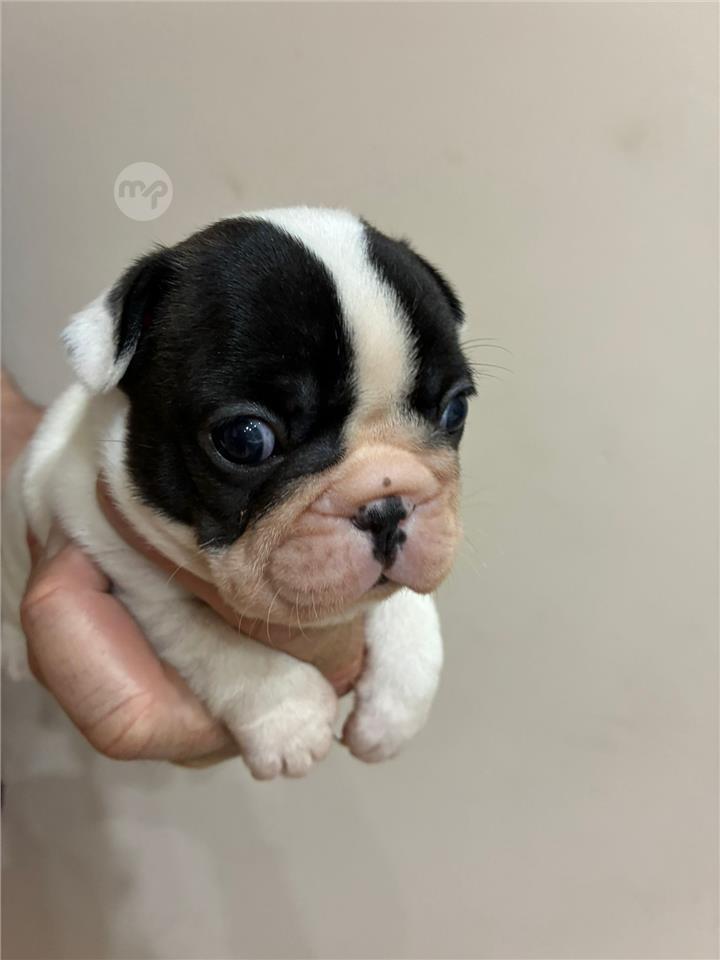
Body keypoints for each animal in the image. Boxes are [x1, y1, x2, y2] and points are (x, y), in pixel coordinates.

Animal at [2, 207, 474, 778]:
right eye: (246, 439)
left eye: (456, 410)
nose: (385, 508)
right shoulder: (124, 568)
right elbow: (212, 641)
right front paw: (290, 719)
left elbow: (403, 603)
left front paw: (401, 698)